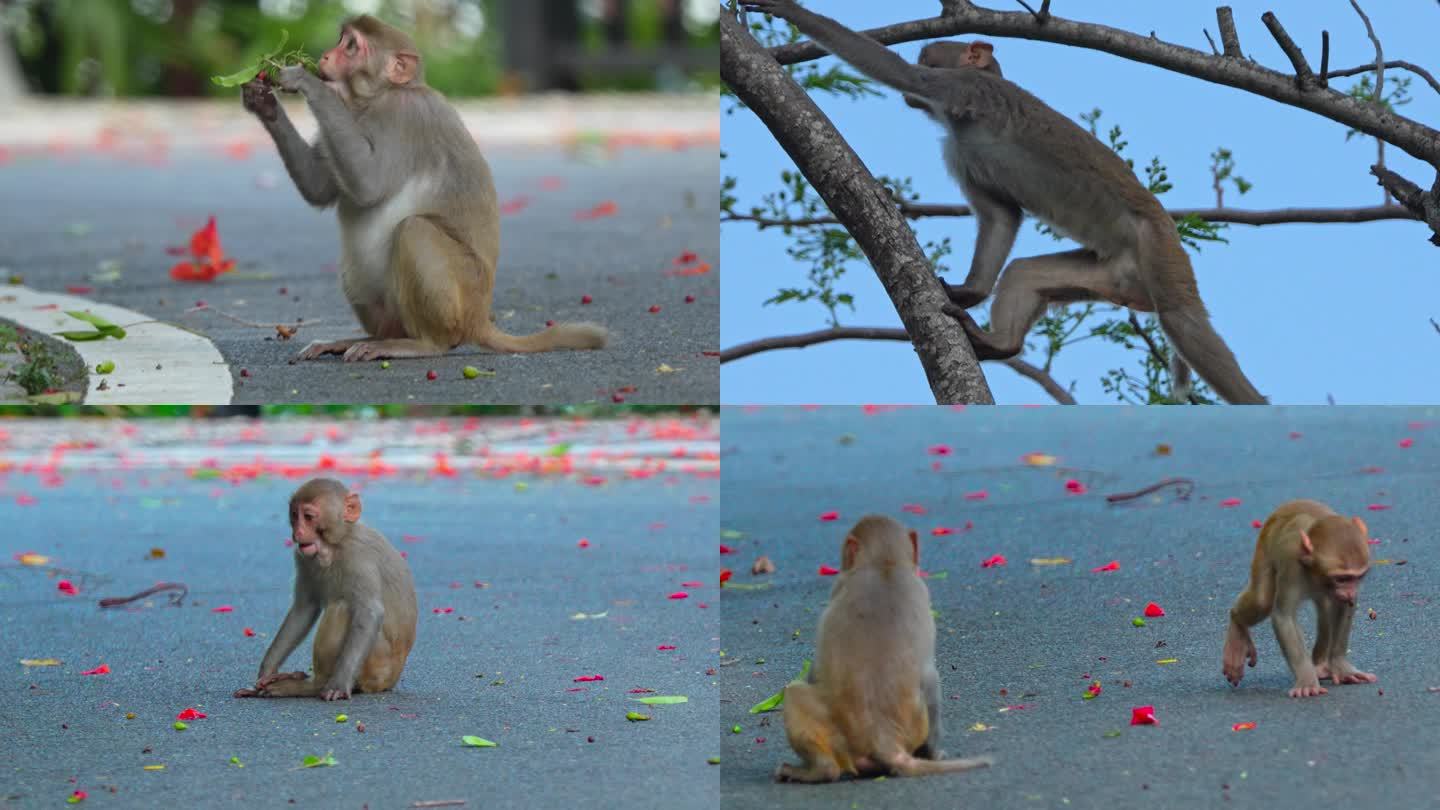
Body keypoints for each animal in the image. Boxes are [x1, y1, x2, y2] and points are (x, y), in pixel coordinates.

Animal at [233, 475, 417, 697]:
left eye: (309, 517)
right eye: (294, 515)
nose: (298, 532)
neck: (335, 545)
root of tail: (391, 681)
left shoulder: (359, 557)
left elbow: (369, 612)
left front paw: (339, 683)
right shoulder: (303, 556)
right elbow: (304, 609)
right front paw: (265, 674)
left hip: (376, 668)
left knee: (342, 607)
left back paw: (313, 684)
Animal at [737, 0, 1267, 403]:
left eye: (930, 58)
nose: (925, 59)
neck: (958, 121)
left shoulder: (967, 90)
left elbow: (901, 75)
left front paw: (789, 9)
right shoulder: (957, 146)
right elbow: (1000, 214)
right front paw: (969, 292)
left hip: (1159, 247)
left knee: (1184, 322)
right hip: (1109, 274)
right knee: (1026, 273)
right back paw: (1000, 344)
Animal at [777, 513, 990, 778]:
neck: (884, 564)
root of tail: (883, 739)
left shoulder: (839, 586)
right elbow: (930, 676)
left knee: (793, 692)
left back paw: (819, 770)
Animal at [1221, 498, 1376, 694]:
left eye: (1358, 577)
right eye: (1342, 578)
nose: (1350, 591)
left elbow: (1344, 607)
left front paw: (1341, 666)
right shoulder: (1291, 564)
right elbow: (1284, 616)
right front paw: (1307, 680)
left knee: (1326, 608)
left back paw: (1320, 666)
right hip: (1264, 547)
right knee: (1261, 600)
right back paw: (1236, 625)